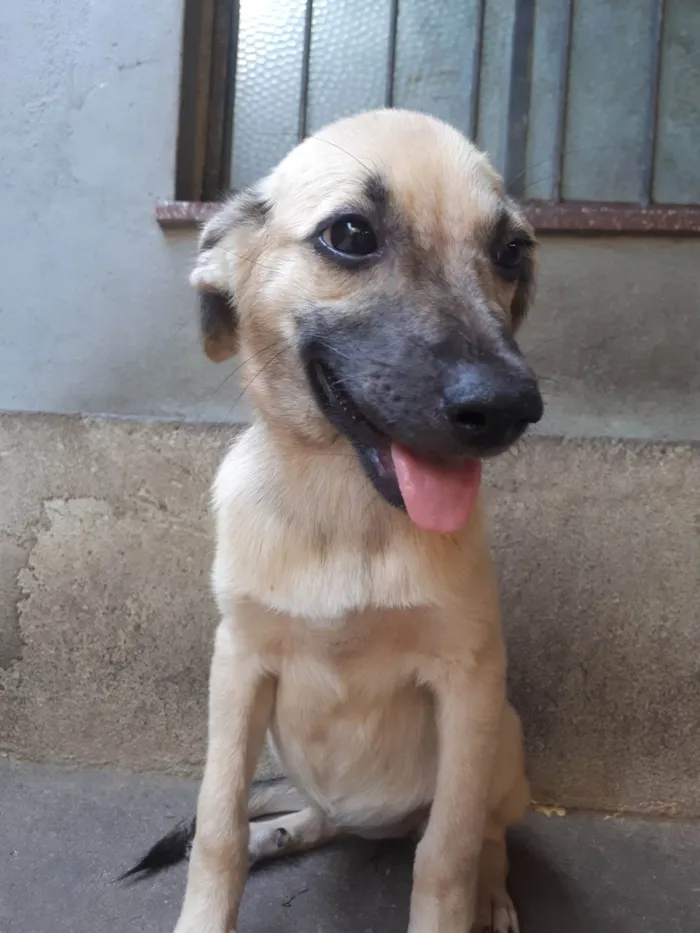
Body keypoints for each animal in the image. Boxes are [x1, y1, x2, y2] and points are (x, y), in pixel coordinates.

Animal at [135, 111, 540, 932]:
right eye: (350, 234)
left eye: (512, 250)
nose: (509, 407)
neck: (345, 511)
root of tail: (375, 821)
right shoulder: (238, 665)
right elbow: (218, 823)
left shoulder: (470, 680)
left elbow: (446, 854)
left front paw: (464, 894)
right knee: (314, 818)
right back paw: (281, 832)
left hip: (505, 738)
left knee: (485, 830)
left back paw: (493, 891)